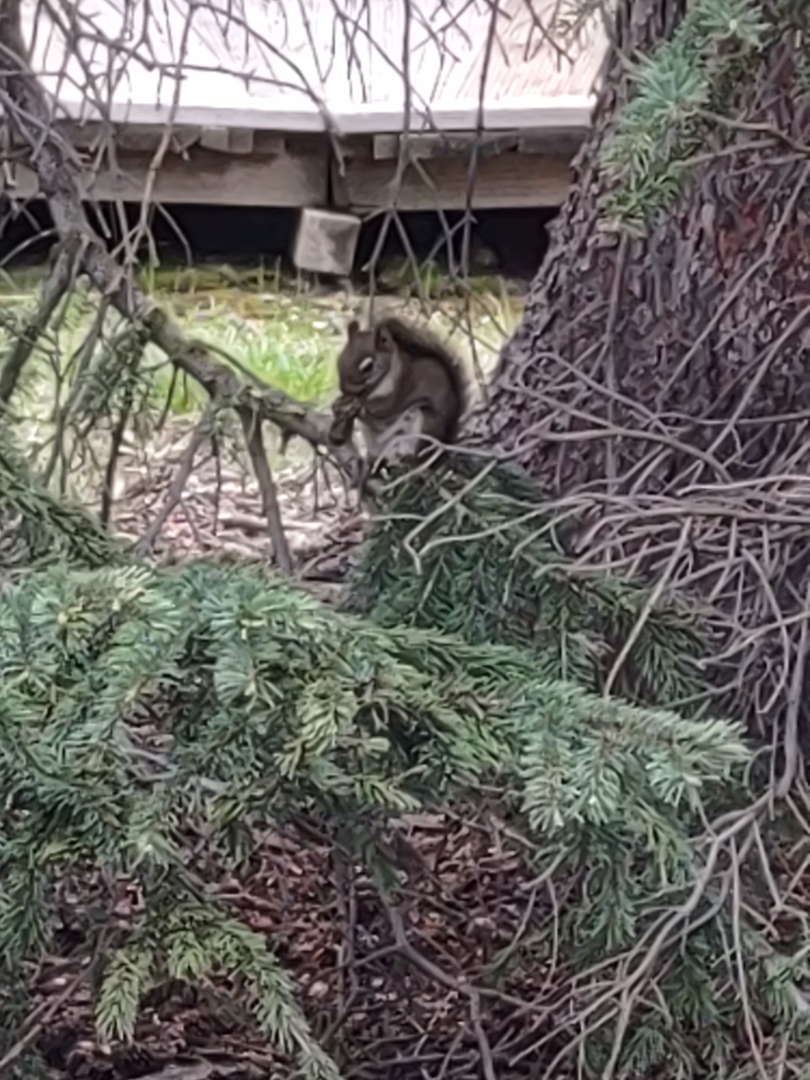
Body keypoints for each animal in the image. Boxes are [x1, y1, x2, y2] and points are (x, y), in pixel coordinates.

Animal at [327, 316, 467, 469]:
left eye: (368, 366)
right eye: (339, 360)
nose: (345, 389)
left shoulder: (399, 386)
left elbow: (383, 407)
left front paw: (359, 405)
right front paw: (339, 405)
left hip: (426, 424)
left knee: (419, 453)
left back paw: (411, 460)